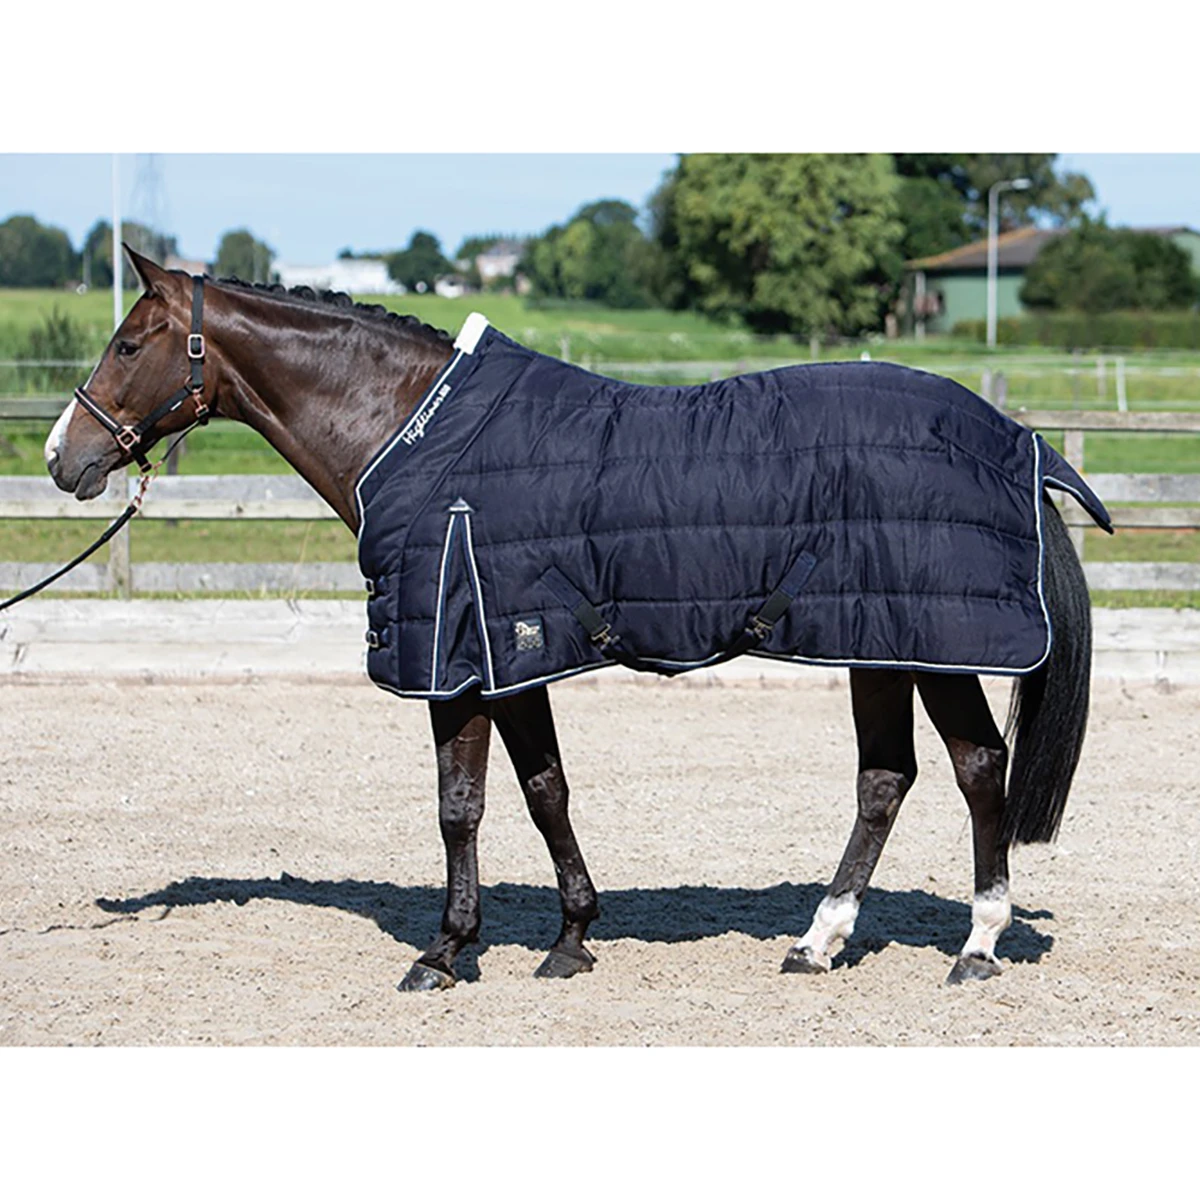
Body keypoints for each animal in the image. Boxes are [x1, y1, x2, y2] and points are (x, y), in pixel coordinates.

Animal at [45, 247, 1100, 990]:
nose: (63, 457)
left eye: (129, 343)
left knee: (977, 768)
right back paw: (818, 941)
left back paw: (976, 946)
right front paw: (571, 937)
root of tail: (1016, 439)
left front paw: (444, 953)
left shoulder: (457, 660)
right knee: (887, 780)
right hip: (879, 643)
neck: (411, 432)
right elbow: (544, 788)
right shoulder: (512, 656)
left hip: (931, 644)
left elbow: (461, 806)